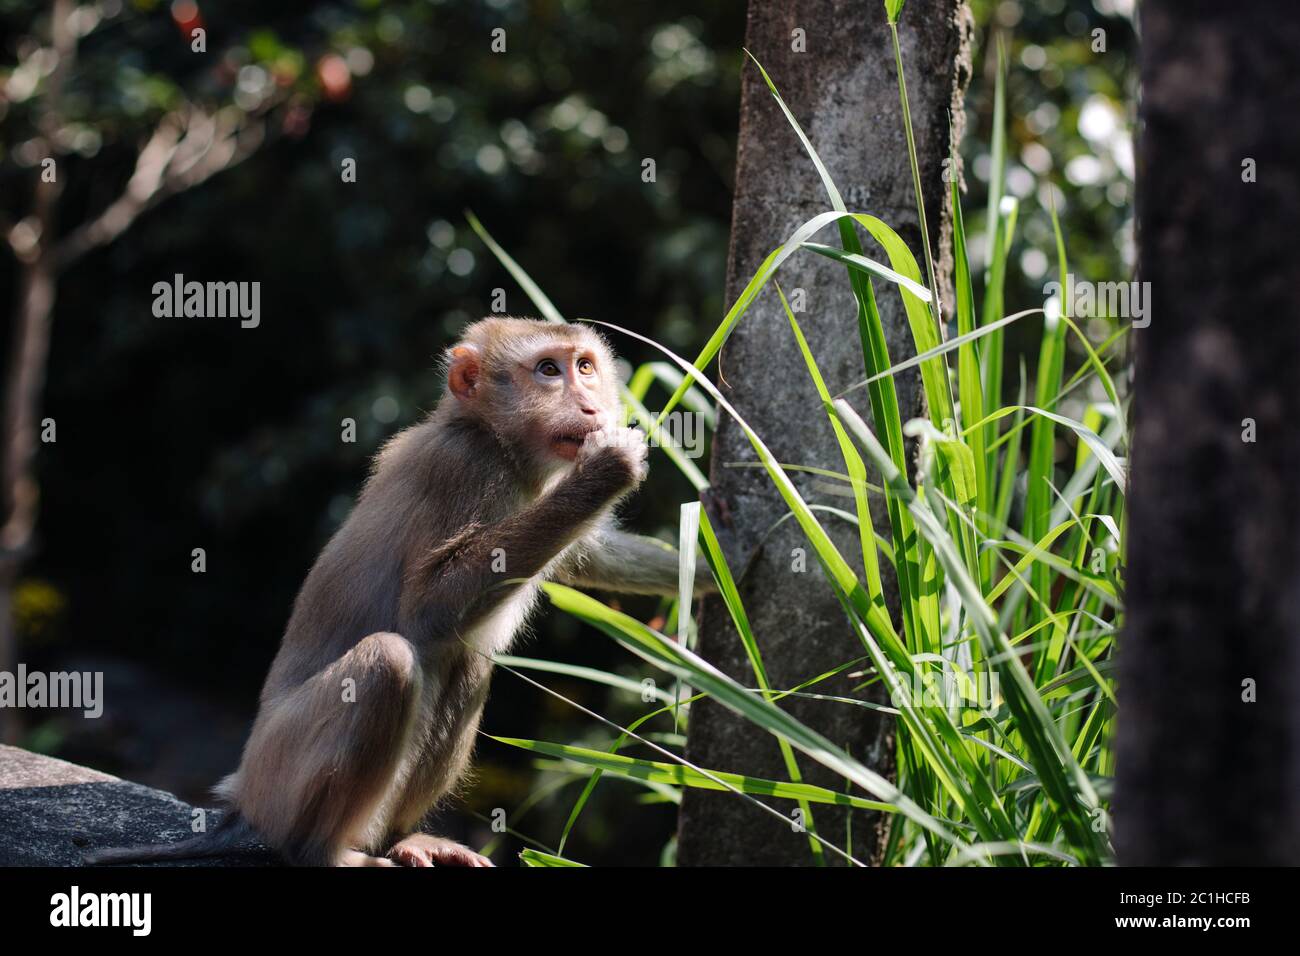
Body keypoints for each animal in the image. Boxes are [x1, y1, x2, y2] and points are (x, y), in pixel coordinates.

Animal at [86, 319, 717, 868]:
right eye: (547, 370)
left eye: (585, 367)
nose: (591, 405)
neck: (494, 440)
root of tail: (241, 800)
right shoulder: (462, 469)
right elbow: (428, 608)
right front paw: (609, 469)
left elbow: (592, 554)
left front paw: (722, 569)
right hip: (280, 777)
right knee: (390, 662)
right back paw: (326, 854)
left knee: (466, 664)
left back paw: (402, 839)